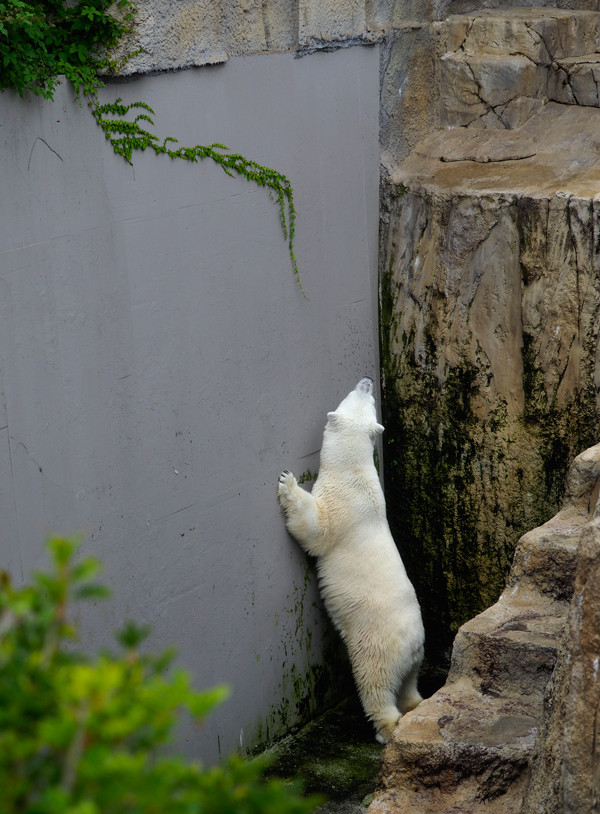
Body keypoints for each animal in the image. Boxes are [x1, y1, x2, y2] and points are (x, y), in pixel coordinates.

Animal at [278, 378, 424, 744]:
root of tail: (414, 645)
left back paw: (386, 729)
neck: (354, 471)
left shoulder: (340, 505)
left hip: (376, 644)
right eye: (365, 396)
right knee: (409, 683)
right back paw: (414, 704)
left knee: (376, 683)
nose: (367, 380)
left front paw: (287, 481)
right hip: (413, 657)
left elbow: (315, 530)